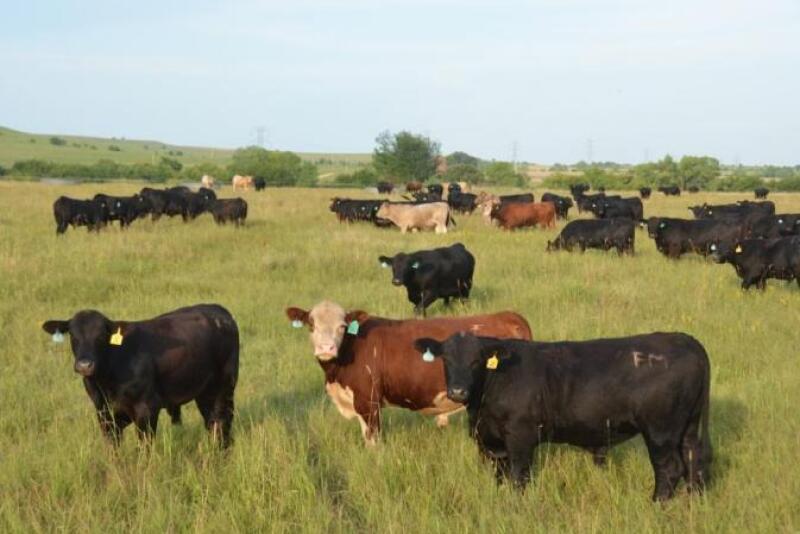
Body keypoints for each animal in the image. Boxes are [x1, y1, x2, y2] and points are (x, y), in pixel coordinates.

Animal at [41, 304, 239, 447]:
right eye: (73, 335)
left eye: (101, 335)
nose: (85, 365)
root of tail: (220, 312)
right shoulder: (104, 413)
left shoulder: (147, 409)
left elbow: (144, 448)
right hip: (204, 392)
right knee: (212, 423)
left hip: (225, 387)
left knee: (223, 422)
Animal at [285, 301, 532, 445]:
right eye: (311, 324)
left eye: (342, 326)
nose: (326, 348)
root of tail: (508, 316)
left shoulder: (369, 401)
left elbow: (373, 441)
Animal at [412, 331, 712, 501]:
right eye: (446, 359)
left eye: (476, 361)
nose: (458, 391)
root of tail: (686, 340)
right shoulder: (490, 441)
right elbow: (500, 476)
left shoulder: (520, 436)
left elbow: (519, 477)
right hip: (688, 426)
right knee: (694, 460)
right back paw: (693, 502)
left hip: (661, 431)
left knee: (670, 468)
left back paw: (657, 503)